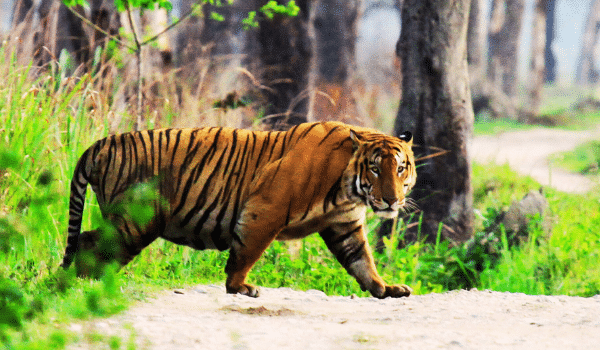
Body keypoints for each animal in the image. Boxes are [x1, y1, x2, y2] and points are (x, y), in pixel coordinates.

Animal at [62, 121, 418, 298]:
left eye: (401, 168)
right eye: (376, 169)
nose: (391, 200)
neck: (348, 190)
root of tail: (100, 145)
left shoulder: (344, 225)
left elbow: (362, 261)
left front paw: (385, 289)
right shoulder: (266, 209)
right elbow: (246, 252)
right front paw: (239, 287)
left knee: (89, 242)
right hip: (135, 221)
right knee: (89, 244)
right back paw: (82, 287)